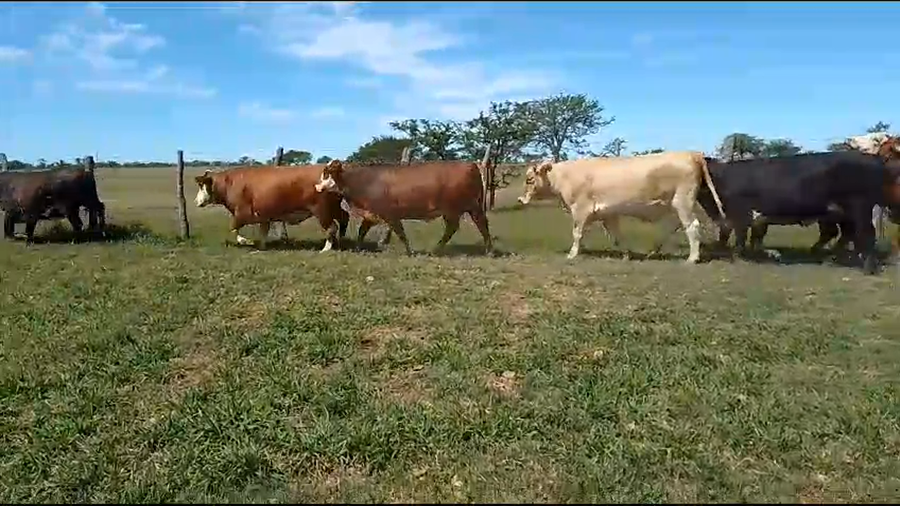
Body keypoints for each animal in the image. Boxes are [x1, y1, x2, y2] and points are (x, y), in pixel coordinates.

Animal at [193, 164, 350, 251]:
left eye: (201, 186)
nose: (196, 201)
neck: (229, 183)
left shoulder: (242, 213)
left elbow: (233, 228)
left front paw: (246, 241)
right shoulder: (264, 216)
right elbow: (263, 232)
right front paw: (261, 247)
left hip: (322, 211)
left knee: (332, 227)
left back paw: (326, 248)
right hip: (334, 208)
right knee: (344, 219)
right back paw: (340, 240)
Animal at [312, 155, 493, 256]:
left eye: (327, 173)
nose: (317, 186)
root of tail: (471, 165)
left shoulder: (390, 214)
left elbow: (401, 233)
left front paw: (409, 251)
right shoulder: (371, 214)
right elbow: (362, 231)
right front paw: (357, 248)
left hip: (461, 208)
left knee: (474, 225)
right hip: (465, 208)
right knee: (467, 226)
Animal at [515, 151, 726, 262]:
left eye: (530, 179)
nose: (520, 199)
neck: (564, 177)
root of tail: (690, 153)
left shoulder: (580, 210)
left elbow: (577, 234)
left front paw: (572, 254)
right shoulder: (608, 214)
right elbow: (617, 235)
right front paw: (626, 255)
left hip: (683, 202)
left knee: (692, 226)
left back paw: (692, 258)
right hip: (677, 205)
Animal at [696, 150, 900, 274]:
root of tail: (873, 158)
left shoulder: (740, 213)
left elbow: (739, 235)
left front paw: (740, 255)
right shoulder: (752, 217)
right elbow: (751, 236)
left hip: (859, 207)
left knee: (865, 233)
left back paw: (867, 268)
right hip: (842, 212)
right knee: (844, 233)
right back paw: (831, 255)